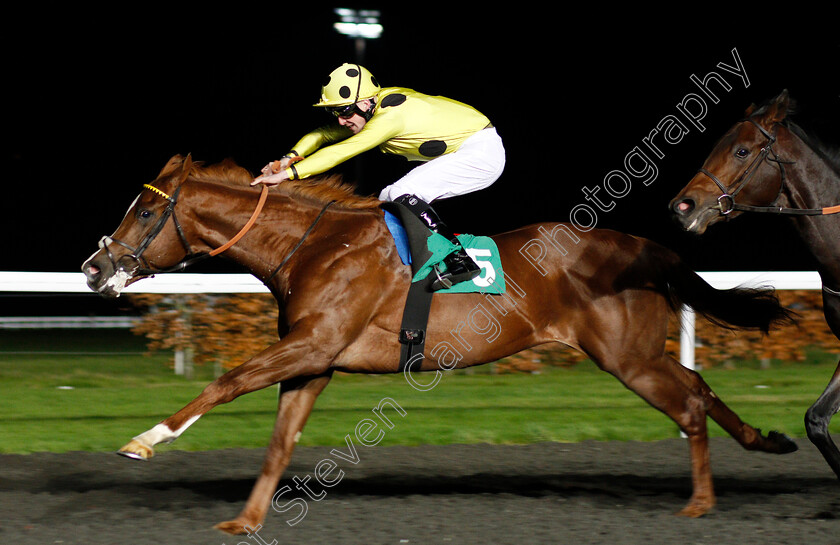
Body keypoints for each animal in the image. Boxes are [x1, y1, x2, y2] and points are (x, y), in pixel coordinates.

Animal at [82, 152, 796, 532]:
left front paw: (145, 440)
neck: (313, 245)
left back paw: (701, 501)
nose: (93, 267)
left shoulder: (314, 345)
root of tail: (648, 248)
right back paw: (766, 440)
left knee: (689, 402)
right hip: (637, 354)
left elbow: (228, 381)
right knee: (699, 385)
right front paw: (248, 520)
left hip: (627, 357)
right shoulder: (315, 360)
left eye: (148, 212)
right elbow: (281, 440)